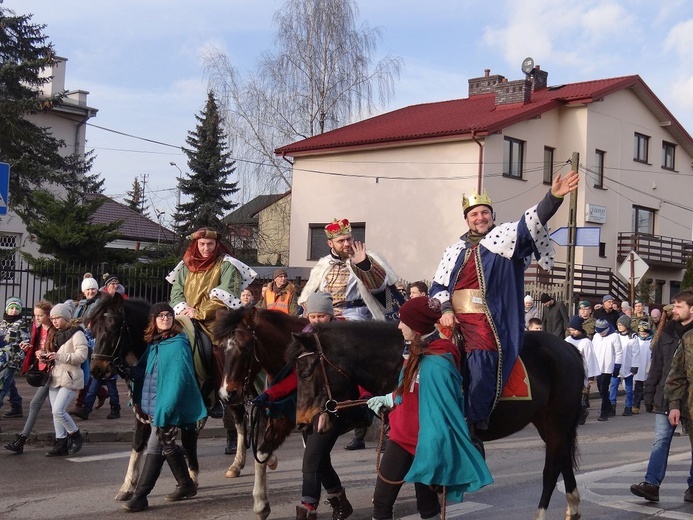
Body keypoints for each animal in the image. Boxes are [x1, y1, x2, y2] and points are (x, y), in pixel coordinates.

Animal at [214, 304, 306, 520]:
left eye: (246, 347)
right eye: (221, 348)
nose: (226, 393)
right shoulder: (278, 412)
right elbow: (262, 451)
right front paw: (260, 502)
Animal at [286, 322, 584, 516]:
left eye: (306, 371)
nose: (301, 422)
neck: (406, 360)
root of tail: (570, 349)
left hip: (557, 422)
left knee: (550, 470)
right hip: (549, 423)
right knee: (562, 461)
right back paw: (573, 507)